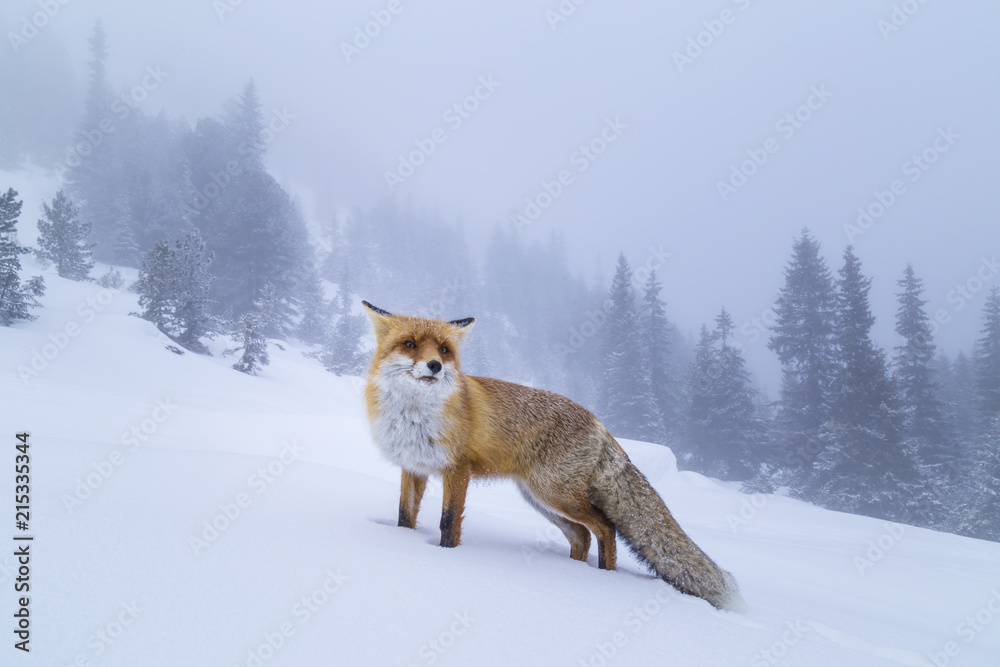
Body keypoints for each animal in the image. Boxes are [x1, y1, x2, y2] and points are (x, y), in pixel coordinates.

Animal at [361, 300, 743, 611]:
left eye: (443, 349)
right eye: (410, 344)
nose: (435, 366)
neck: (414, 416)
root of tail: (598, 421)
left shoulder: (457, 470)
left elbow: (448, 522)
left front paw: (446, 557)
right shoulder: (414, 468)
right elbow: (404, 516)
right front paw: (405, 541)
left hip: (554, 494)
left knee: (605, 528)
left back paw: (605, 577)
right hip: (541, 499)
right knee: (582, 536)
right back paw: (572, 571)